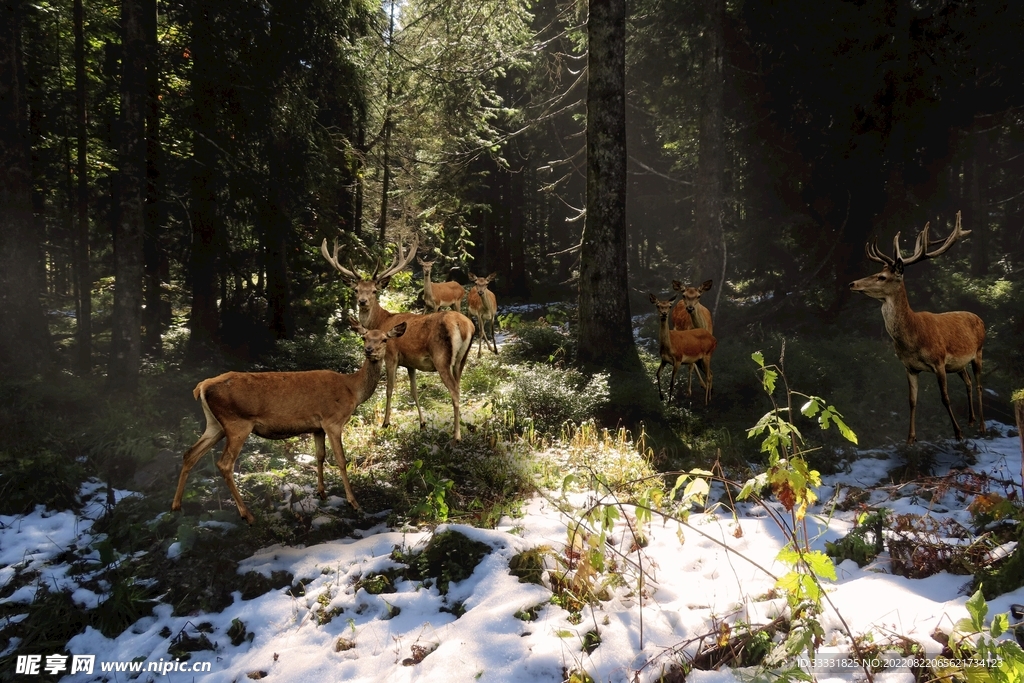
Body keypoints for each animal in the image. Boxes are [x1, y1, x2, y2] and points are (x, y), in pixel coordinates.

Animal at [170, 318, 407, 524]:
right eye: (364, 337)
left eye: (384, 339)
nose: (370, 350)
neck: (352, 390)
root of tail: (202, 386)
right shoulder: (333, 420)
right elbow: (341, 460)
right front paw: (353, 502)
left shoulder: (318, 426)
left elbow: (319, 456)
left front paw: (322, 493)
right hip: (237, 422)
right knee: (224, 464)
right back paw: (247, 514)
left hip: (214, 424)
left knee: (189, 454)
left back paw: (176, 506)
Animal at [321, 235, 475, 440]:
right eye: (356, 290)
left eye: (374, 290)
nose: (363, 301)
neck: (382, 320)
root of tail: (464, 325)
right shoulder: (410, 363)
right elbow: (414, 391)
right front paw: (422, 423)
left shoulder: (391, 355)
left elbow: (389, 389)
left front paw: (386, 423)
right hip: (461, 360)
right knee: (460, 386)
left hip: (441, 358)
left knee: (455, 391)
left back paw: (456, 435)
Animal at [849, 211, 985, 445]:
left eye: (882, 277)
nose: (852, 284)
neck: (913, 338)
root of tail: (979, 317)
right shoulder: (909, 367)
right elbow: (911, 400)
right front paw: (910, 438)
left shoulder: (939, 361)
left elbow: (945, 398)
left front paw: (957, 433)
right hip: (959, 364)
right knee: (967, 381)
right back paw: (970, 420)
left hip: (978, 351)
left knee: (978, 385)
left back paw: (982, 426)